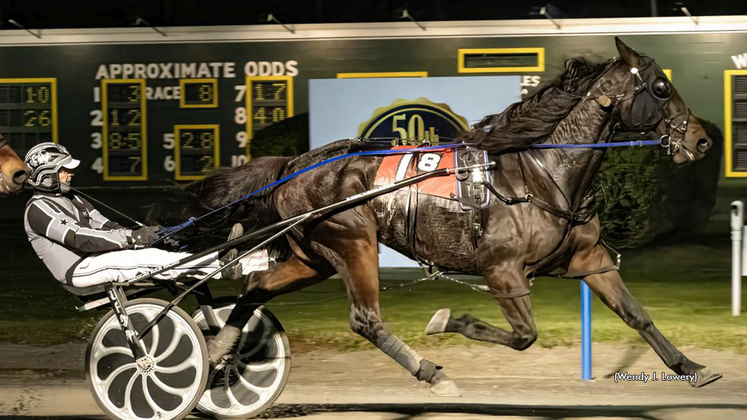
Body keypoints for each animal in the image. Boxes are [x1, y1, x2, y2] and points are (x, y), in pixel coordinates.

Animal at [187, 37, 720, 396]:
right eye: (661, 86)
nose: (701, 141)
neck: (542, 173)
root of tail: (293, 165)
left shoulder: (589, 260)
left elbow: (637, 314)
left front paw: (692, 367)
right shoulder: (502, 270)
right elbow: (523, 336)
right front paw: (447, 320)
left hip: (312, 256)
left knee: (255, 288)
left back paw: (216, 353)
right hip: (353, 242)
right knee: (365, 319)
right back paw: (431, 374)